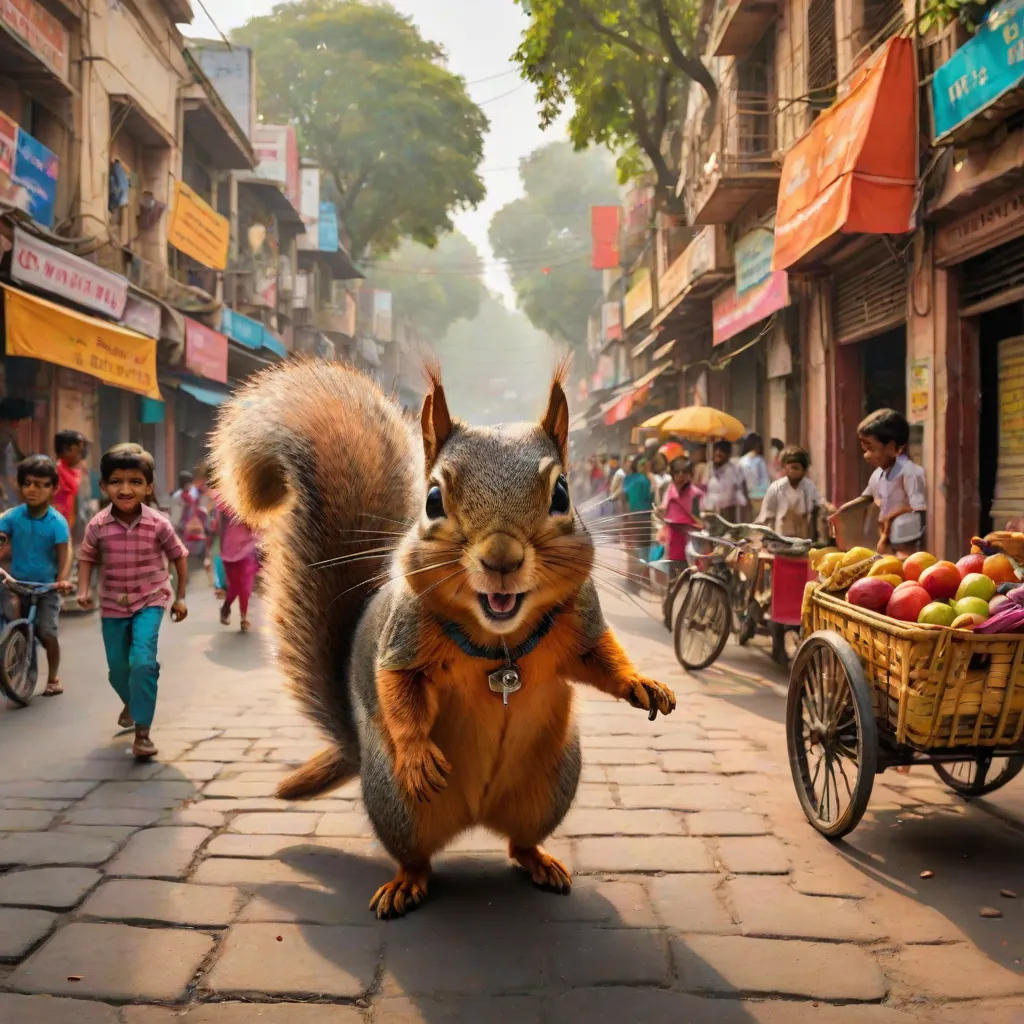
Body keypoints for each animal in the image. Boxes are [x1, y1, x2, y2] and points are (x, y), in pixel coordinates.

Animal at [210, 360, 676, 918]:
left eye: (562, 494)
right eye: (433, 500)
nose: (501, 559)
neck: (500, 643)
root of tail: (475, 815)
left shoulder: (580, 621)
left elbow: (600, 659)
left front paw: (642, 684)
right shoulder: (404, 641)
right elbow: (398, 688)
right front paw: (417, 752)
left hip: (552, 786)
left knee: (520, 842)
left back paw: (540, 861)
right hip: (397, 804)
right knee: (416, 856)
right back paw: (406, 882)